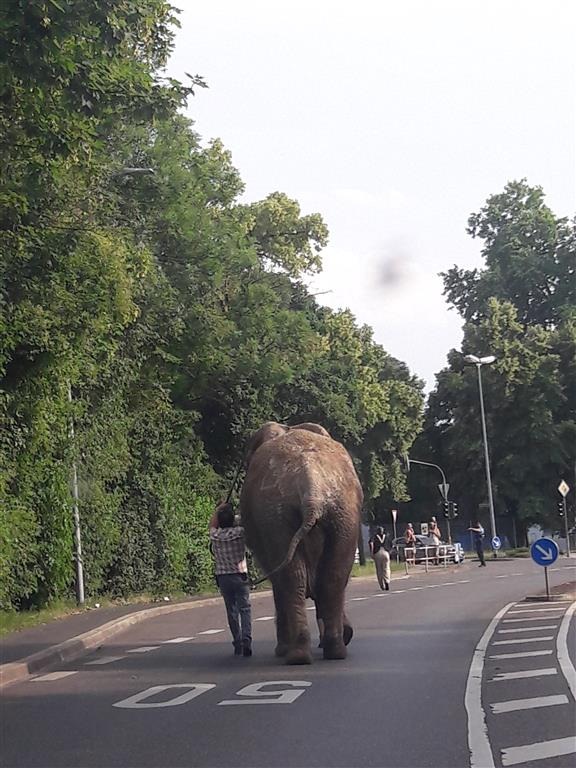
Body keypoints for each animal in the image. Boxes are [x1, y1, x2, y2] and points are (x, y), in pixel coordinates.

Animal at [241, 424, 362, 664]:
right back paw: (331, 650)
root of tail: (311, 487)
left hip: (276, 515)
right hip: (342, 512)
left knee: (293, 579)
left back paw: (297, 654)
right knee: (332, 577)